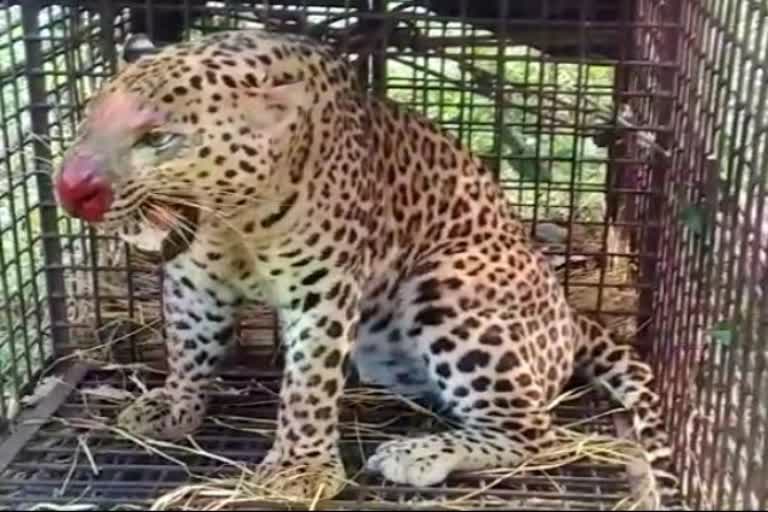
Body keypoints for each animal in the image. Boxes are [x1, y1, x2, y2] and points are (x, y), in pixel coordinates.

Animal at [54, 29, 684, 508]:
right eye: (86, 120)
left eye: (158, 138)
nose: (70, 189)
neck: (235, 219)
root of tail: (574, 318)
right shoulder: (195, 279)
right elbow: (188, 346)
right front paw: (176, 405)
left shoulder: (322, 289)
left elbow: (308, 386)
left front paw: (300, 470)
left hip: (451, 280)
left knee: (532, 431)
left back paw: (419, 453)